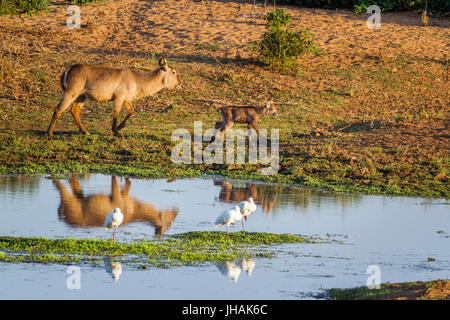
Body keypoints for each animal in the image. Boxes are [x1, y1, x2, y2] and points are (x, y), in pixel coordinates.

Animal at [45, 57, 179, 136]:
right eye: (174, 72)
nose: (179, 83)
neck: (137, 80)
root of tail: (68, 69)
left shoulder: (126, 99)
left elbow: (131, 111)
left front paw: (119, 128)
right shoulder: (119, 96)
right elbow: (116, 113)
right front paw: (116, 131)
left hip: (81, 96)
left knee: (74, 110)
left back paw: (85, 131)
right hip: (71, 92)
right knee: (58, 109)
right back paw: (49, 133)